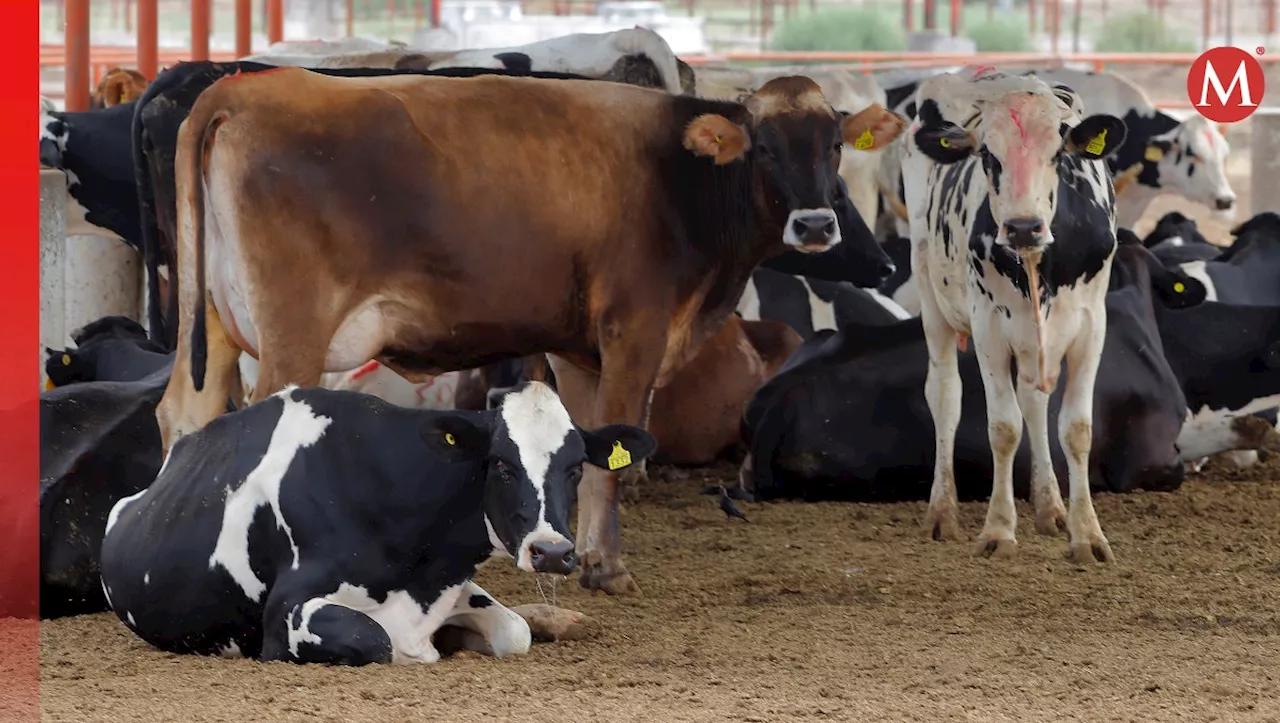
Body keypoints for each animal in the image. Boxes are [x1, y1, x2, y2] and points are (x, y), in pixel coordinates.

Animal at [98, 383, 655, 665]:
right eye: (500, 462)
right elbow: (377, 641)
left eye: (576, 466)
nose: (553, 551)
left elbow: (514, 631)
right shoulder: (286, 615)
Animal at [901, 67, 1131, 560]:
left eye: (1058, 152)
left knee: (1034, 401)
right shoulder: (988, 327)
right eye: (988, 154)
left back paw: (1051, 508)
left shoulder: (1090, 327)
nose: (1024, 227)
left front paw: (1086, 534)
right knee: (945, 396)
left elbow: (1075, 428)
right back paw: (942, 512)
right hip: (932, 296)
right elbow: (1003, 428)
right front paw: (998, 530)